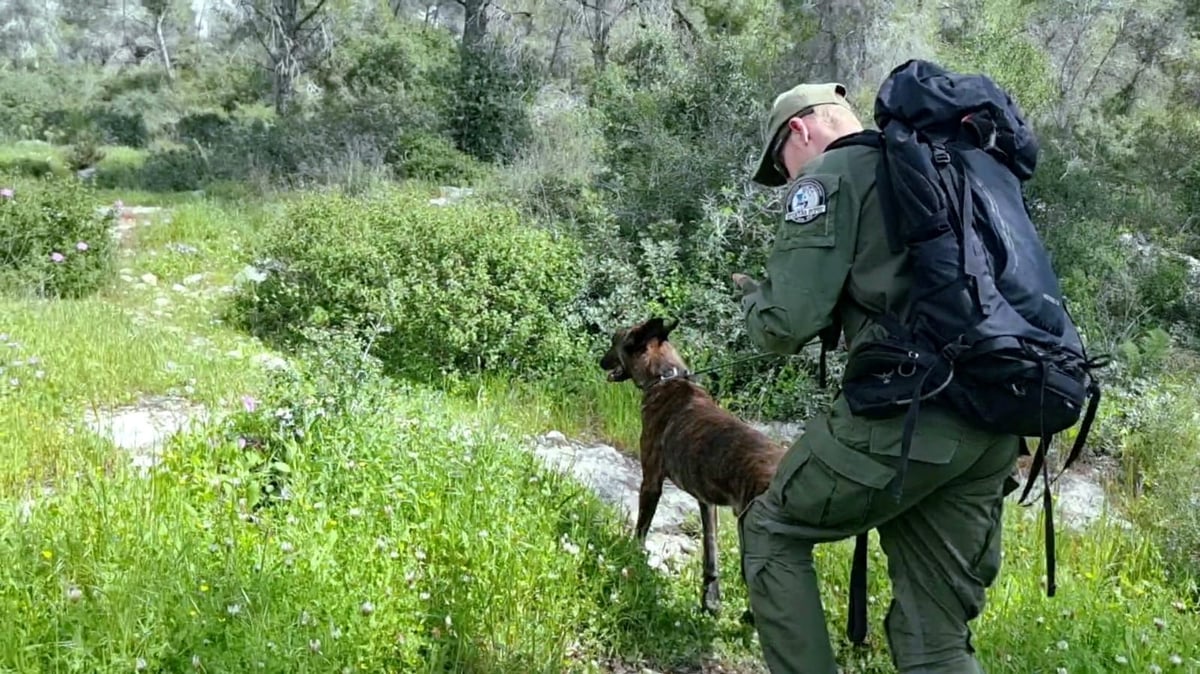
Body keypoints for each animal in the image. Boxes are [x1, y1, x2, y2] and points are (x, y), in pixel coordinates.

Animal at [600, 314, 787, 614]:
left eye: (614, 339)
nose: (600, 361)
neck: (666, 377)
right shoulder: (706, 502)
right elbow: (711, 550)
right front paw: (711, 598)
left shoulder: (651, 481)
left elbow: (642, 528)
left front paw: (631, 555)